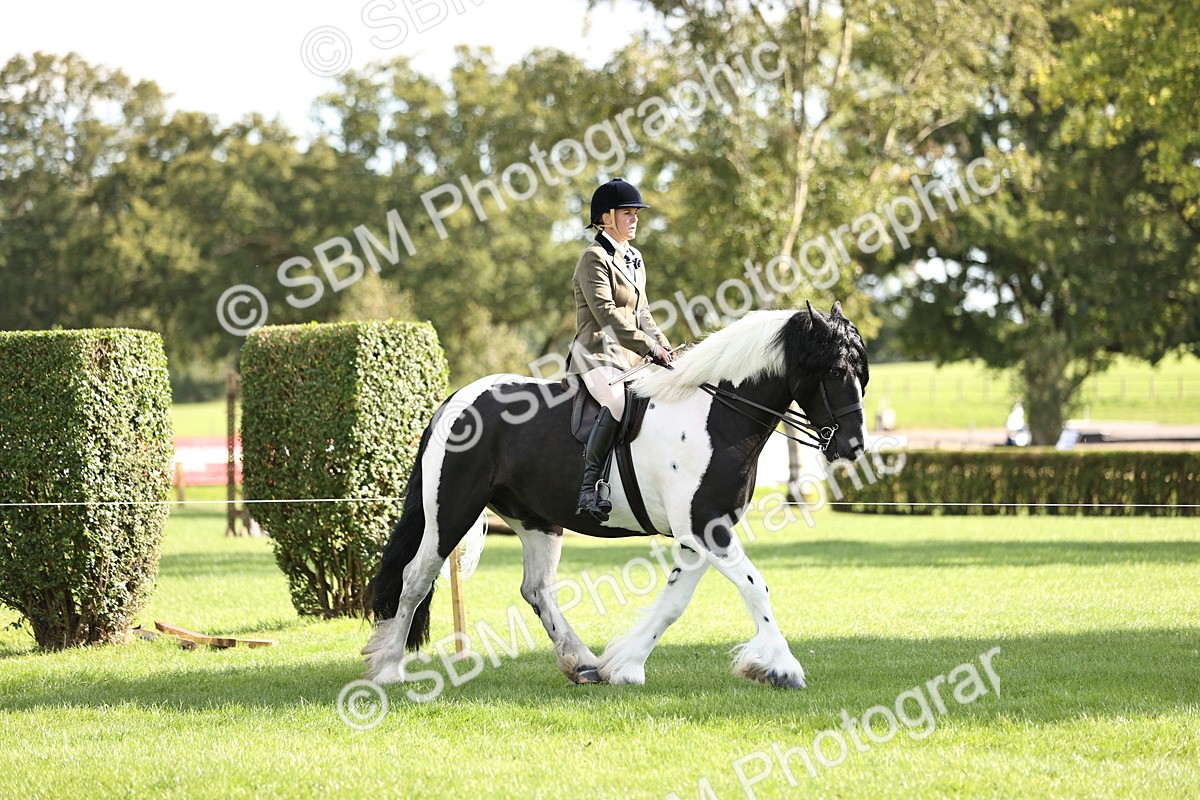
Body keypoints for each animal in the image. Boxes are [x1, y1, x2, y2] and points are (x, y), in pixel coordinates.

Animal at [363, 303, 869, 689]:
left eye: (861, 372)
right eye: (835, 370)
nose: (853, 446)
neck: (716, 415)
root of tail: (455, 400)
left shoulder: (700, 534)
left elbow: (674, 603)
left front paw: (624, 665)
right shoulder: (707, 527)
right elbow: (755, 588)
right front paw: (782, 669)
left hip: (536, 519)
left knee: (536, 588)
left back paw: (582, 662)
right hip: (451, 511)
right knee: (415, 579)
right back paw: (389, 669)